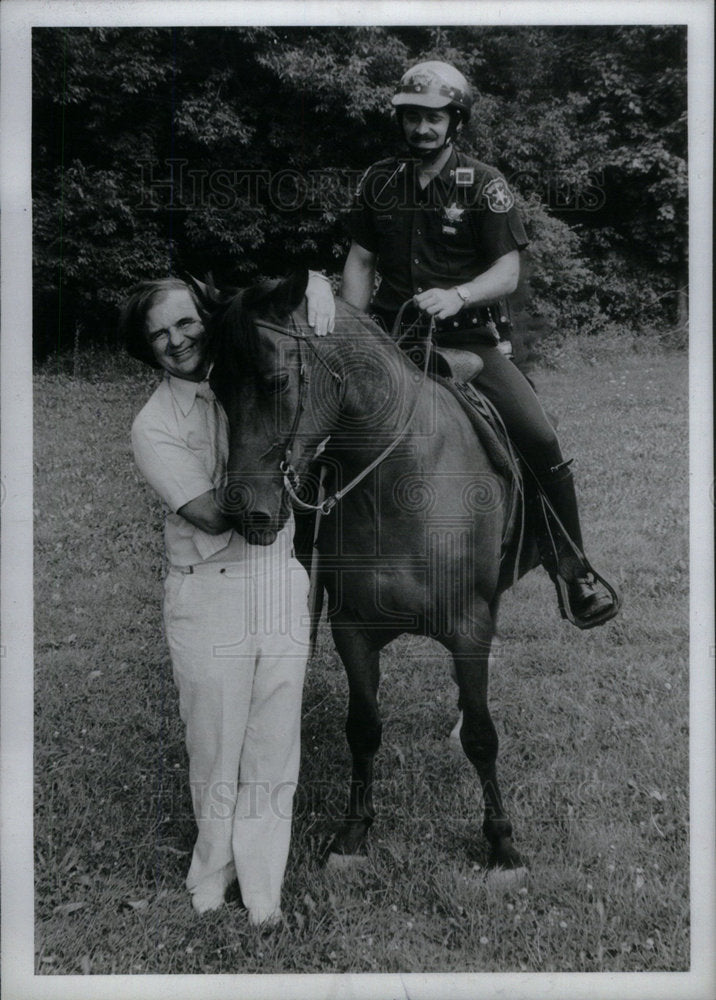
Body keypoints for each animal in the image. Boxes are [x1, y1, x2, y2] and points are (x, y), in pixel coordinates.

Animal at [201, 270, 536, 872]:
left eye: (276, 380)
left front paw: (501, 842)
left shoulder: (469, 626)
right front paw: (354, 831)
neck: (404, 481)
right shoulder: (352, 628)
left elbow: (482, 735)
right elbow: (363, 728)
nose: (244, 512)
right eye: (217, 388)